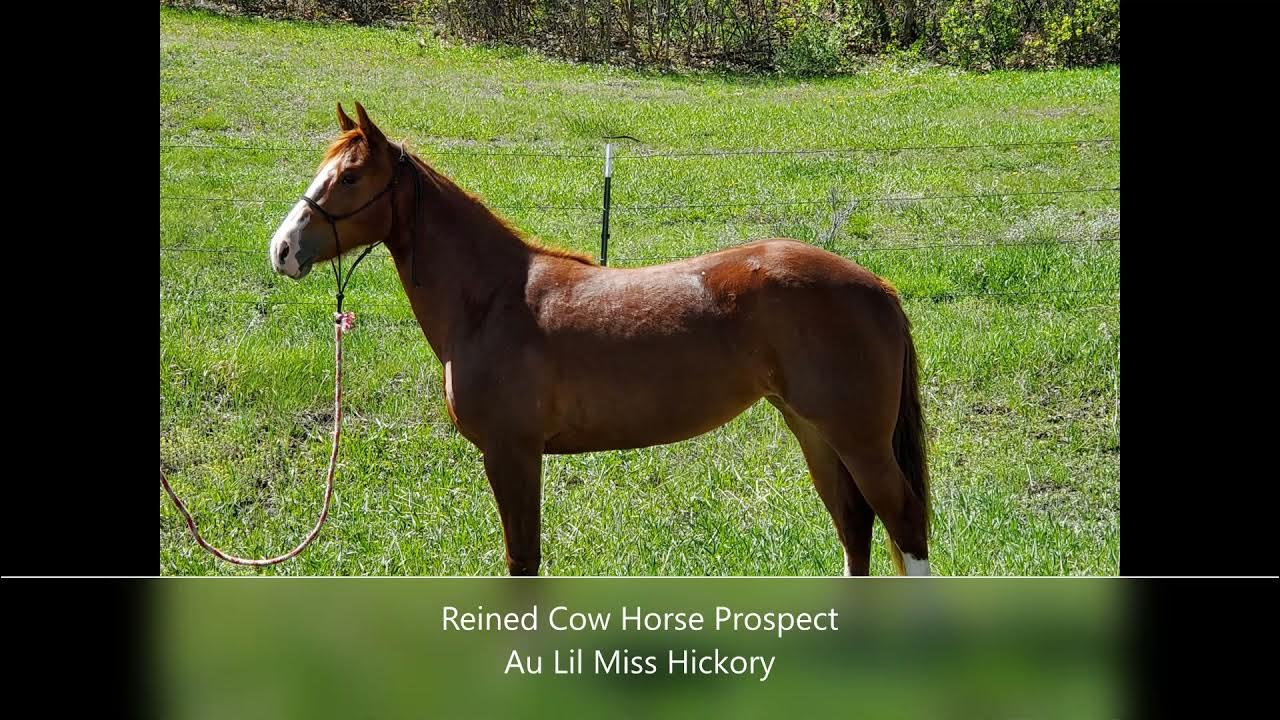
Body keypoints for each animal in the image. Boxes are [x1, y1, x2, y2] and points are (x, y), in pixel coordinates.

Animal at [267, 102, 932, 576]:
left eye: (351, 177)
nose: (282, 249)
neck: (491, 299)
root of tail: (878, 286)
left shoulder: (511, 452)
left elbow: (523, 560)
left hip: (857, 439)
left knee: (903, 520)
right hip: (814, 430)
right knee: (854, 527)